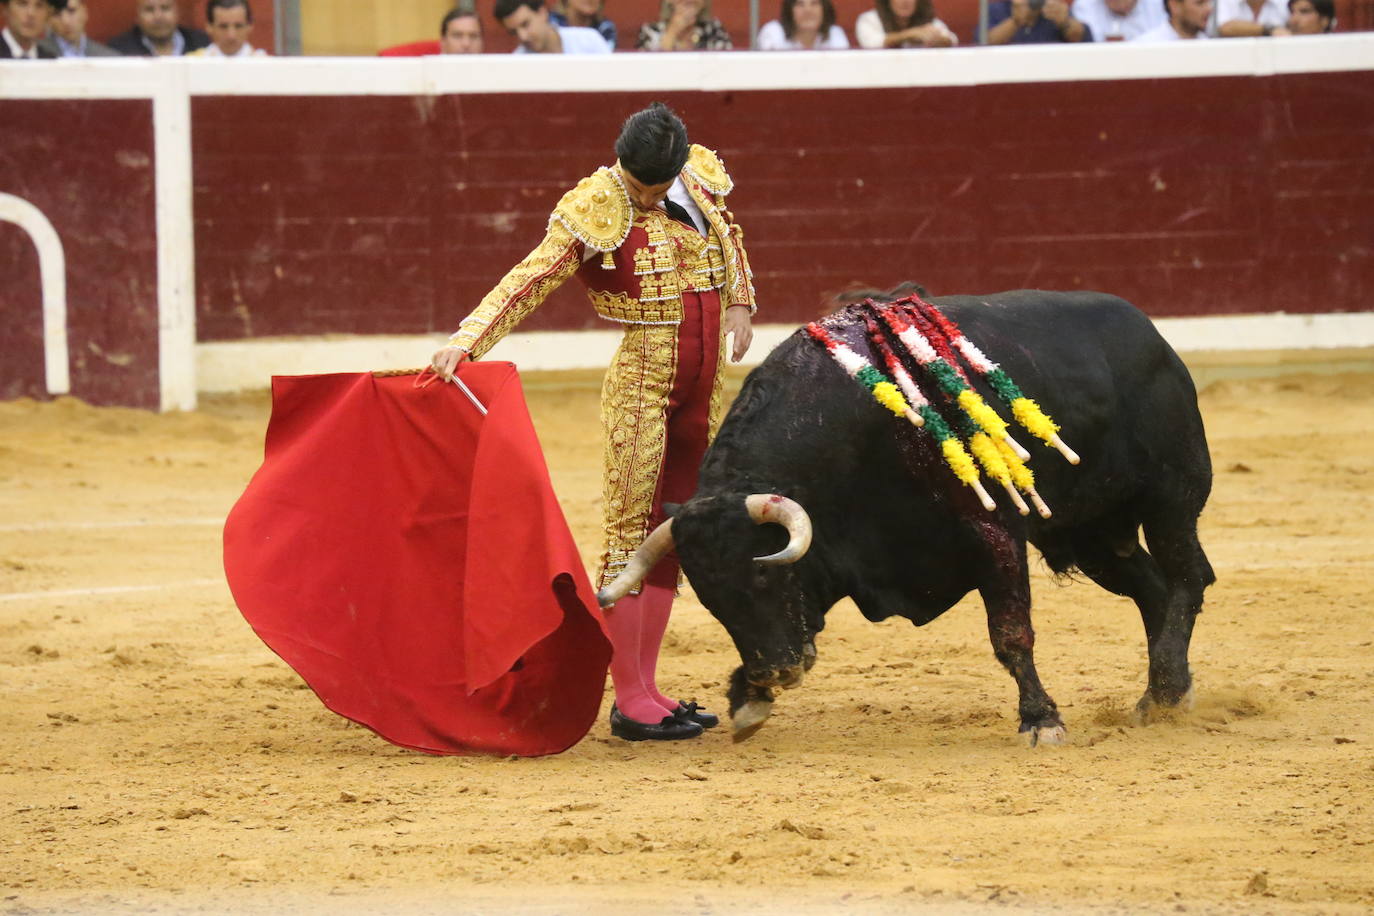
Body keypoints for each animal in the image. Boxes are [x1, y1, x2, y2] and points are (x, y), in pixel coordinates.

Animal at [654, 292, 1214, 747]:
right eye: (712, 599)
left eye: (764, 574)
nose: (774, 672)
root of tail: (1153, 336)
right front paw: (747, 697)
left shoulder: (994, 532)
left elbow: (1011, 634)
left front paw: (1041, 721)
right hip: (1091, 534)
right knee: (1153, 590)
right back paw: (1164, 695)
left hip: (1171, 497)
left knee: (1189, 577)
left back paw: (1166, 687)